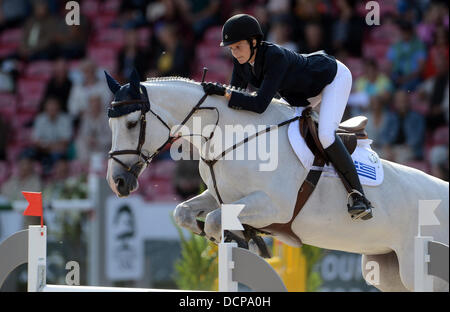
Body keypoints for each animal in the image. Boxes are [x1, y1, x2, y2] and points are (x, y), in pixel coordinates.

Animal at [104, 74, 446, 292]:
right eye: (111, 124)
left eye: (132, 123)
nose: (118, 182)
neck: (229, 135)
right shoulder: (220, 195)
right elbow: (184, 213)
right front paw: (232, 237)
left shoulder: (272, 206)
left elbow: (215, 220)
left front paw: (238, 239)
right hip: (388, 272)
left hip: (417, 269)